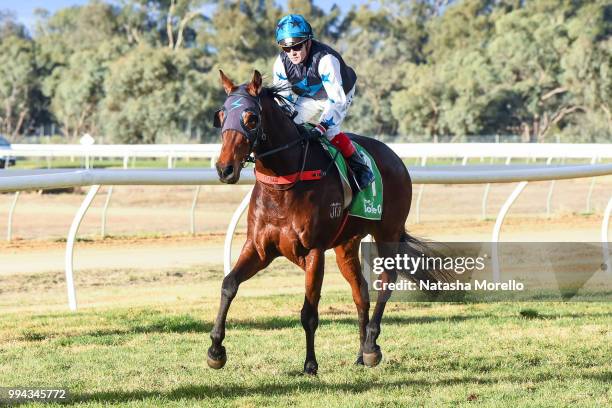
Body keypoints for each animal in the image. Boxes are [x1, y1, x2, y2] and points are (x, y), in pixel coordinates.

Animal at [209, 69, 436, 372]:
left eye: (251, 118)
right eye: (221, 116)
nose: (225, 168)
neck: (284, 183)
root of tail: (395, 157)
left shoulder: (313, 251)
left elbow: (309, 312)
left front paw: (310, 364)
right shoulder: (259, 248)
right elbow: (228, 284)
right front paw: (215, 350)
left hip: (387, 231)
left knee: (387, 279)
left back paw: (372, 347)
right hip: (346, 244)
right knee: (360, 290)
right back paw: (361, 352)